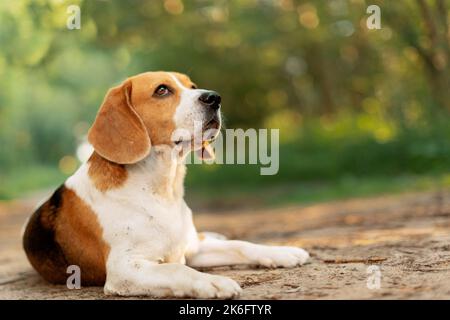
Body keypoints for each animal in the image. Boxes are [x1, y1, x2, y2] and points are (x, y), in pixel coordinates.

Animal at [22, 71, 310, 298]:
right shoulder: (125, 268)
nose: (214, 98)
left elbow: (241, 245)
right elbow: (177, 268)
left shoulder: (193, 248)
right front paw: (212, 282)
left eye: (192, 86)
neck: (161, 190)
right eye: (162, 90)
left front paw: (283, 253)